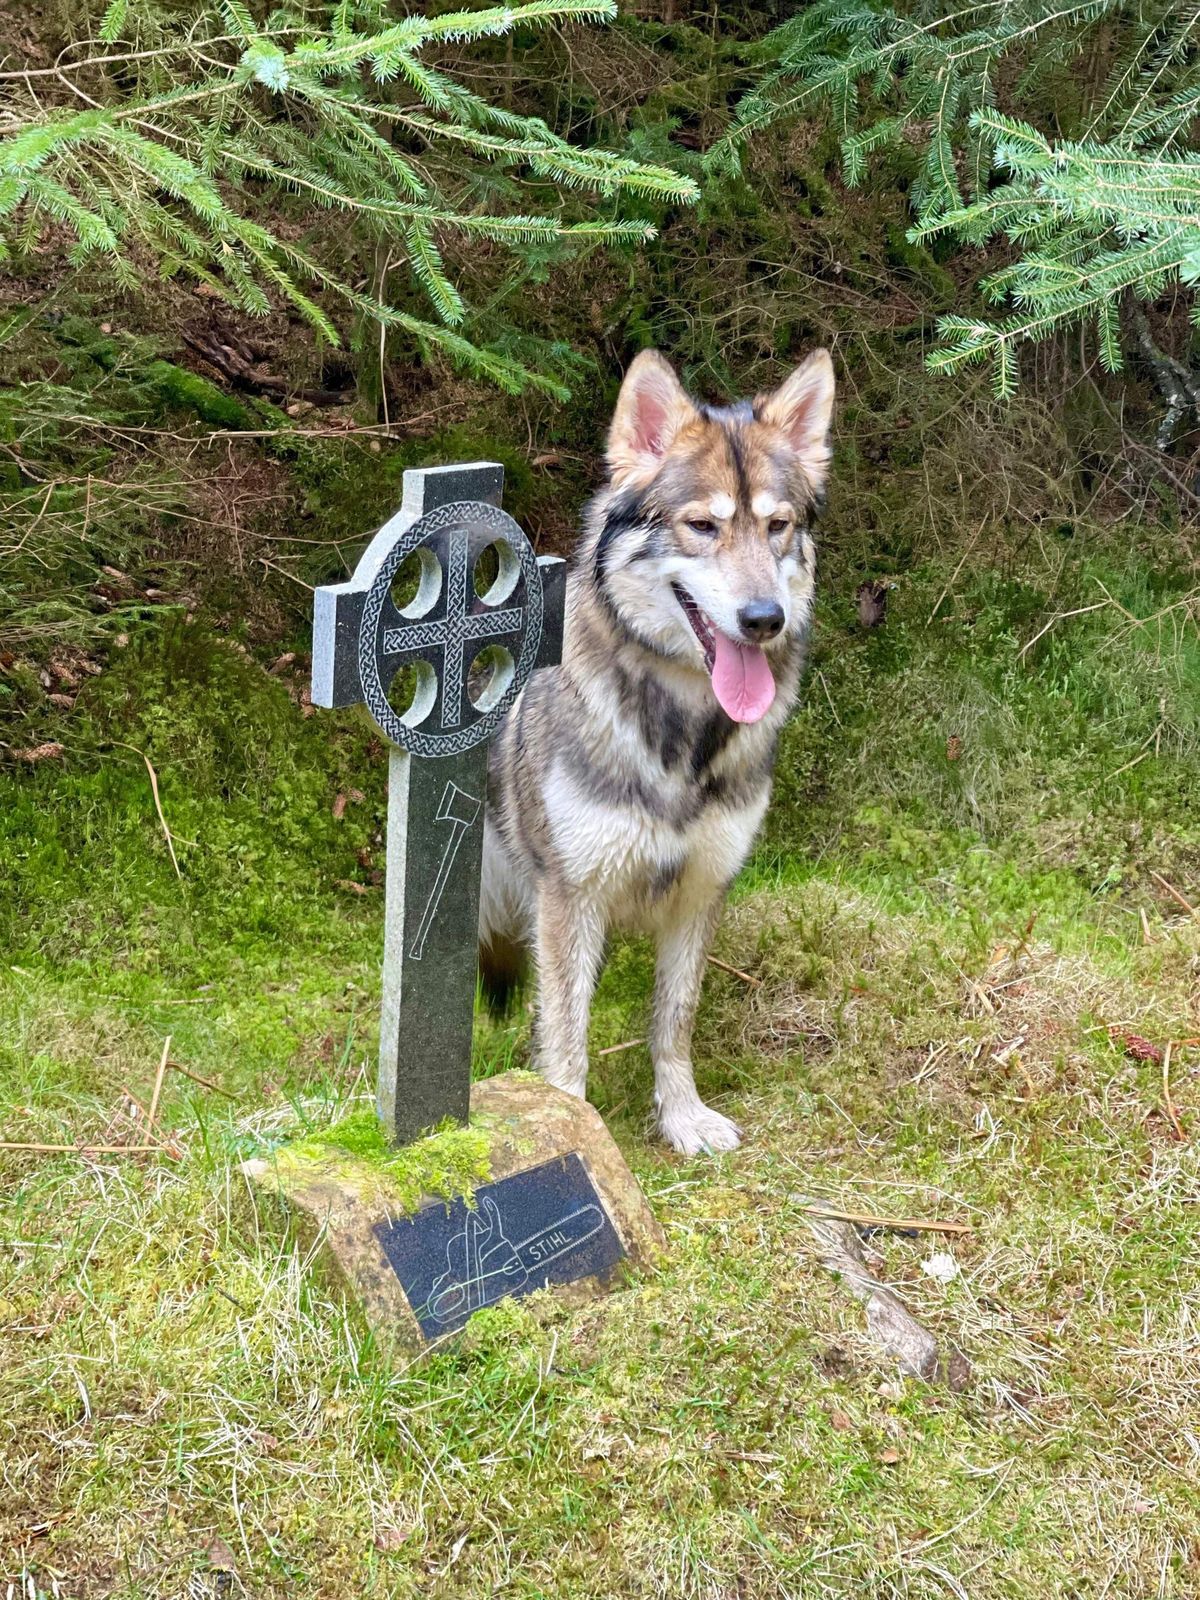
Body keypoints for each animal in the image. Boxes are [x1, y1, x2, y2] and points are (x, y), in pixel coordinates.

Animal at [480, 347, 838, 1152]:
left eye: (778, 526)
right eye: (702, 525)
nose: (764, 618)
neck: (683, 735)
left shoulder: (702, 895)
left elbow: (674, 1022)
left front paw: (682, 1119)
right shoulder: (570, 897)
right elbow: (568, 1037)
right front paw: (571, 1123)